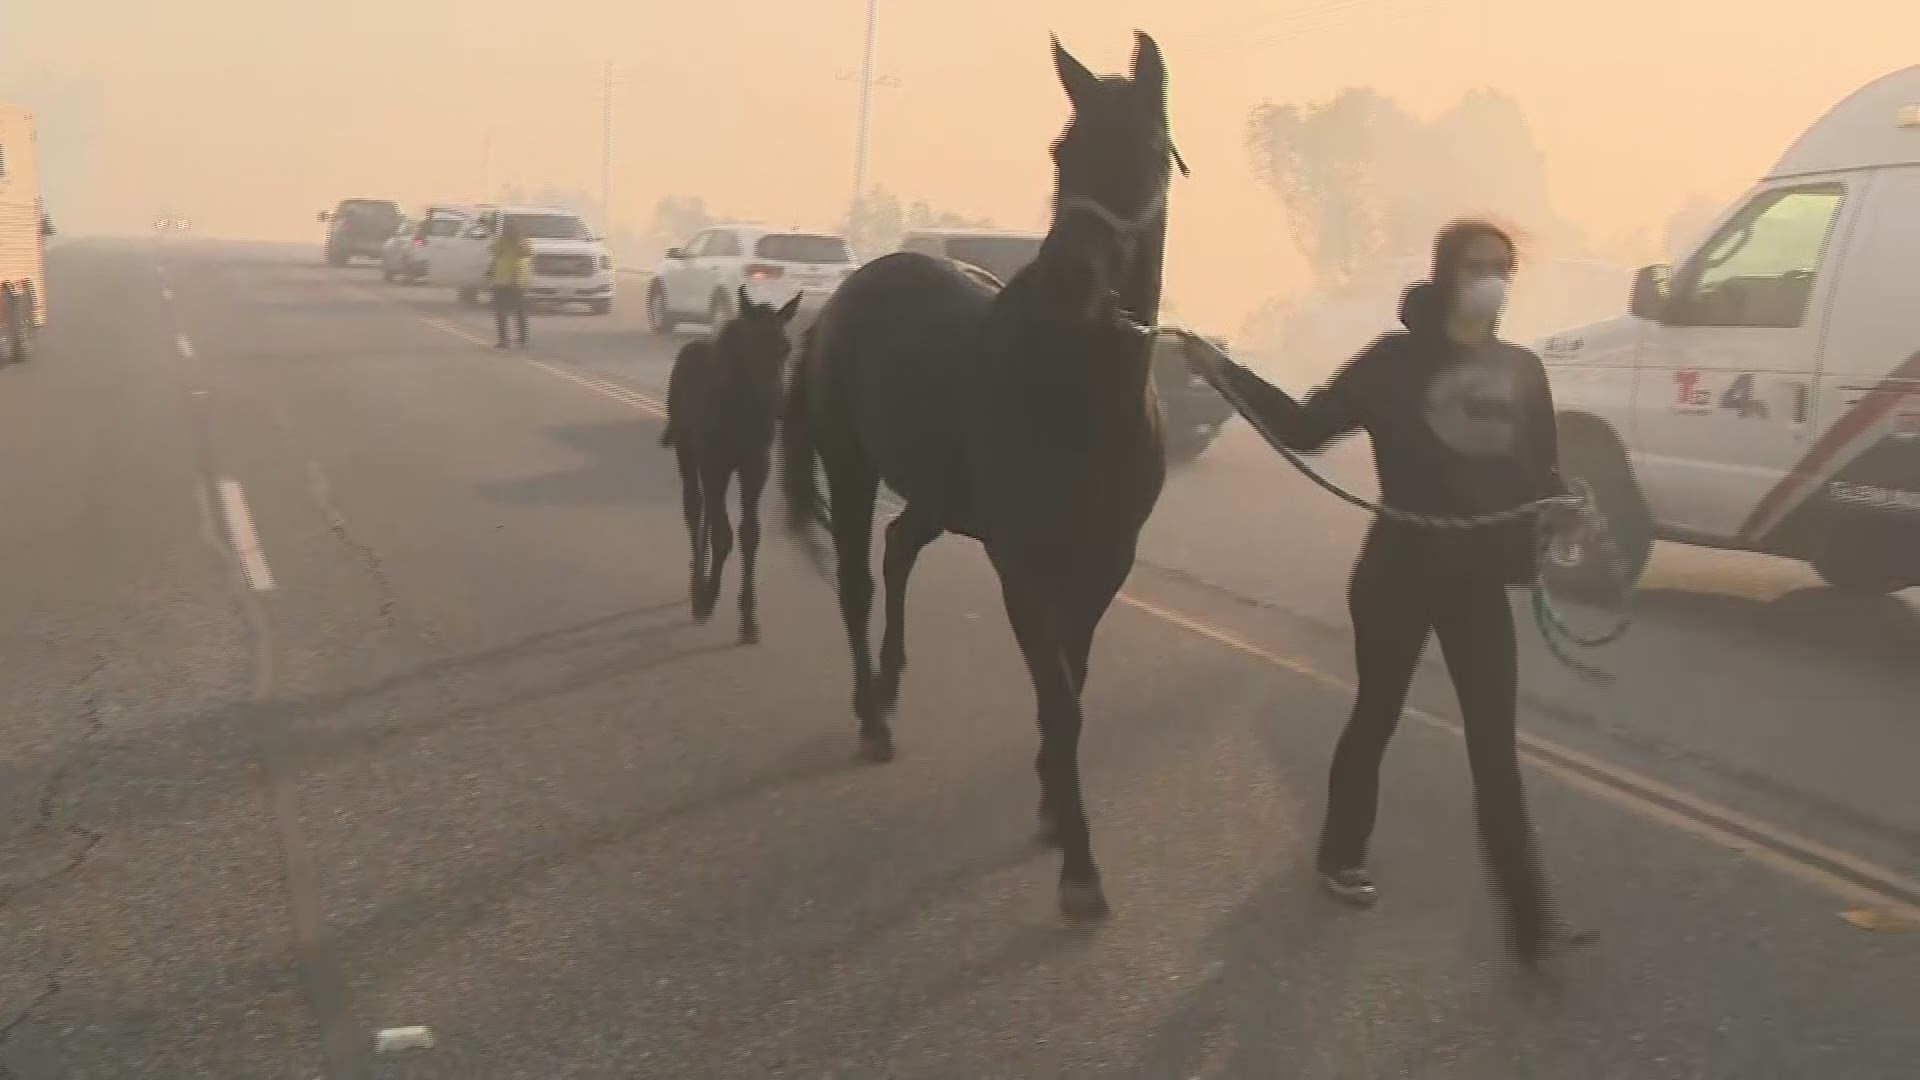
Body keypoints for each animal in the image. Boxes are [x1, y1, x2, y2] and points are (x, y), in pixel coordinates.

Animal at [668, 284, 802, 638]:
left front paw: (749, 617)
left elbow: (748, 534)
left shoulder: (755, 468)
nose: (777, 405)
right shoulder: (715, 465)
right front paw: (708, 598)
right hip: (688, 454)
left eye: (786, 347)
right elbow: (723, 534)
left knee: (705, 513)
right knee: (694, 508)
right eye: (751, 346)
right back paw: (696, 584)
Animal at [779, 29, 1182, 910]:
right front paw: (1078, 868)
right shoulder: (1021, 563)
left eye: (1146, 153)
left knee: (898, 548)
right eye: (1063, 149)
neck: (1080, 394)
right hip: (853, 469)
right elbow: (1059, 699)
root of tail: (841, 299)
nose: (1071, 279)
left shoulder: (1105, 562)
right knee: (859, 580)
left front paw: (1052, 804)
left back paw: (888, 685)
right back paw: (872, 718)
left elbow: (1073, 683)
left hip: (937, 495)